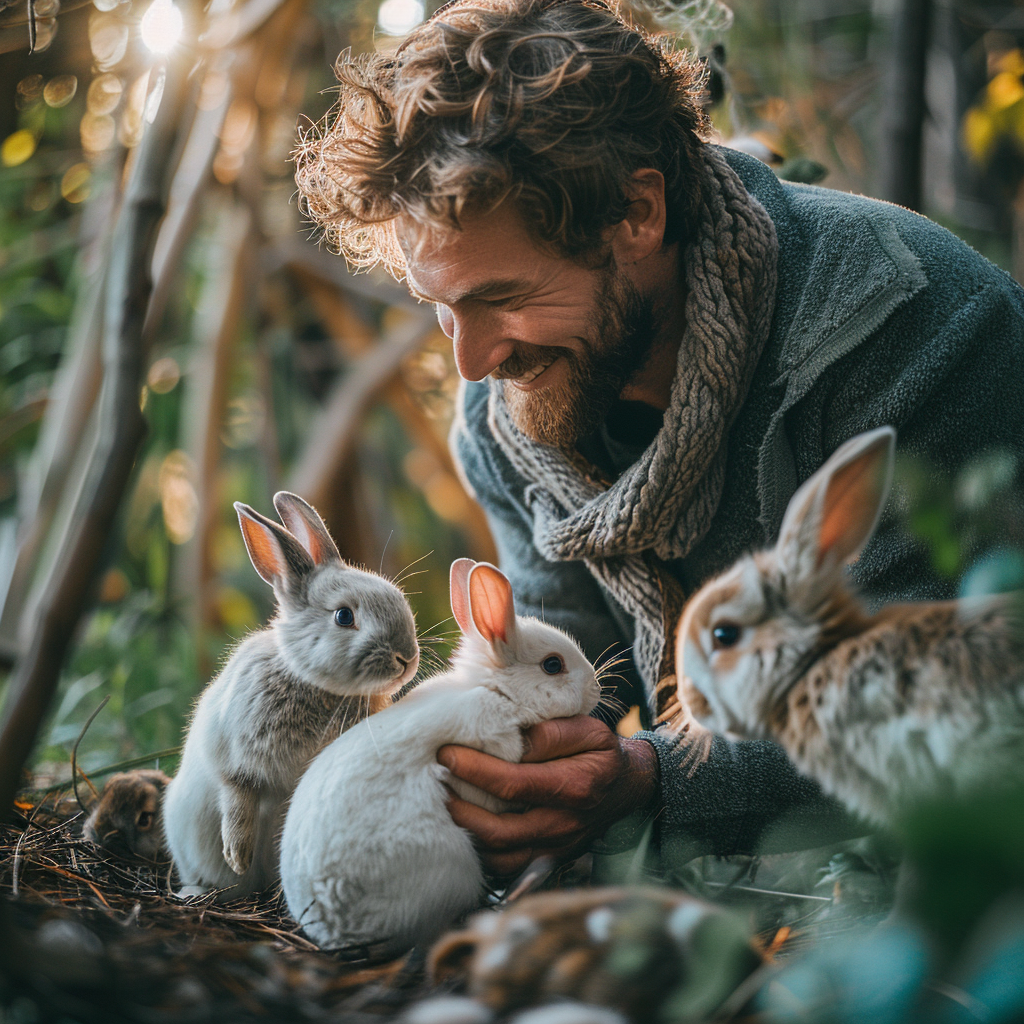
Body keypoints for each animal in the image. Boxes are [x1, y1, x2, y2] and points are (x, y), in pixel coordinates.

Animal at [161, 491, 417, 901]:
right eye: (344, 617)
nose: (407, 658)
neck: (315, 686)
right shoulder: (231, 757)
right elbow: (237, 798)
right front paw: (238, 856)